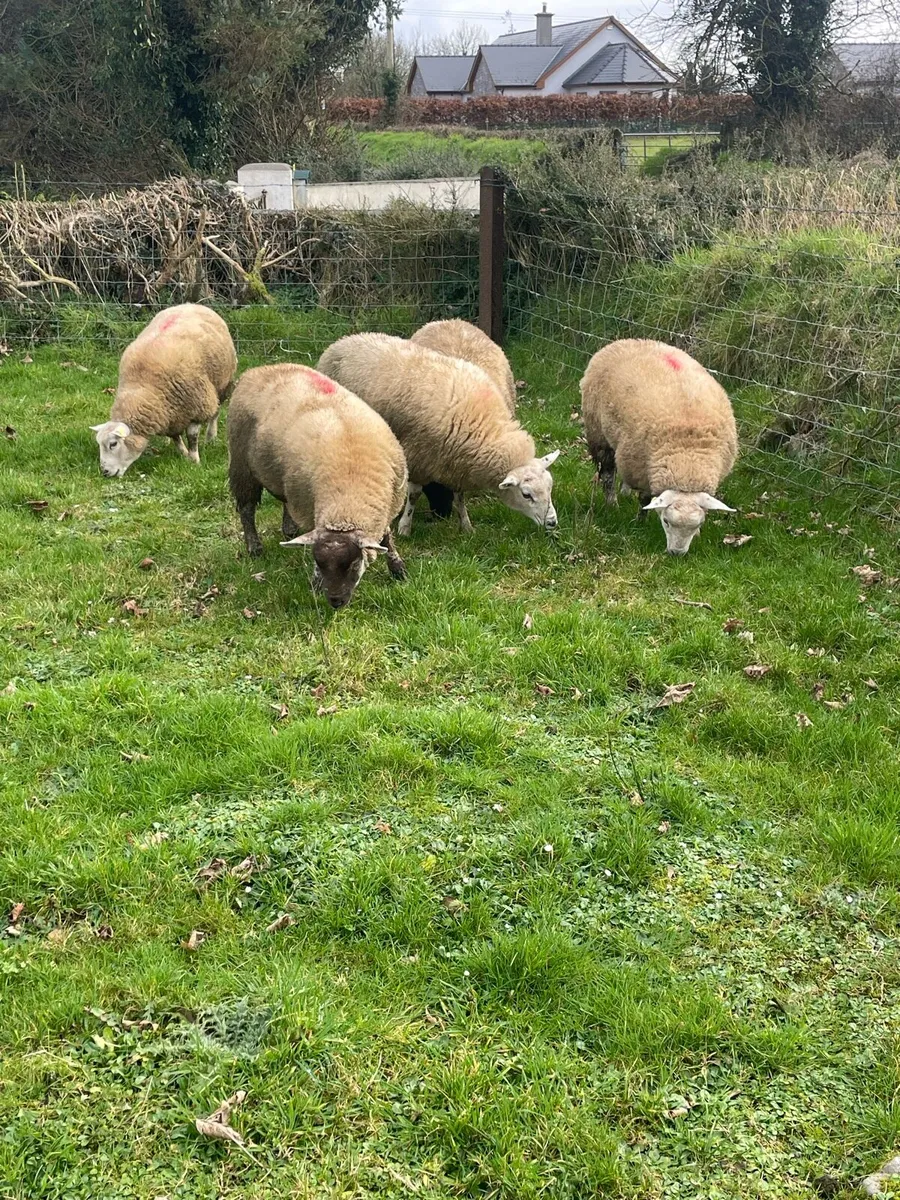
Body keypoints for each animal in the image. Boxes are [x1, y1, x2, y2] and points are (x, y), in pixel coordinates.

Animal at [91, 304, 236, 477]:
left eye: (113, 444)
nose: (105, 472)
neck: (143, 387)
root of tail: (192, 304)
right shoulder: (169, 413)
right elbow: (175, 438)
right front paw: (183, 453)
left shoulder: (197, 405)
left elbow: (192, 437)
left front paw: (194, 461)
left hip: (221, 383)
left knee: (216, 412)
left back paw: (211, 437)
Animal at [227, 363, 408, 609]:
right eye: (320, 563)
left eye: (353, 565)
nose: (335, 601)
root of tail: (259, 369)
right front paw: (314, 584)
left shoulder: (385, 506)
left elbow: (387, 538)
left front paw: (398, 568)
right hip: (242, 466)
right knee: (247, 509)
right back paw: (254, 547)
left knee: (284, 503)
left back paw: (289, 530)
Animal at [580, 338, 738, 555]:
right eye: (666, 521)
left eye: (698, 524)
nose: (677, 554)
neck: (687, 458)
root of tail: (626, 341)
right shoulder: (644, 471)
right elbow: (645, 500)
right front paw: (640, 522)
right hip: (600, 434)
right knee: (607, 474)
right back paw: (612, 504)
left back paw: (624, 492)